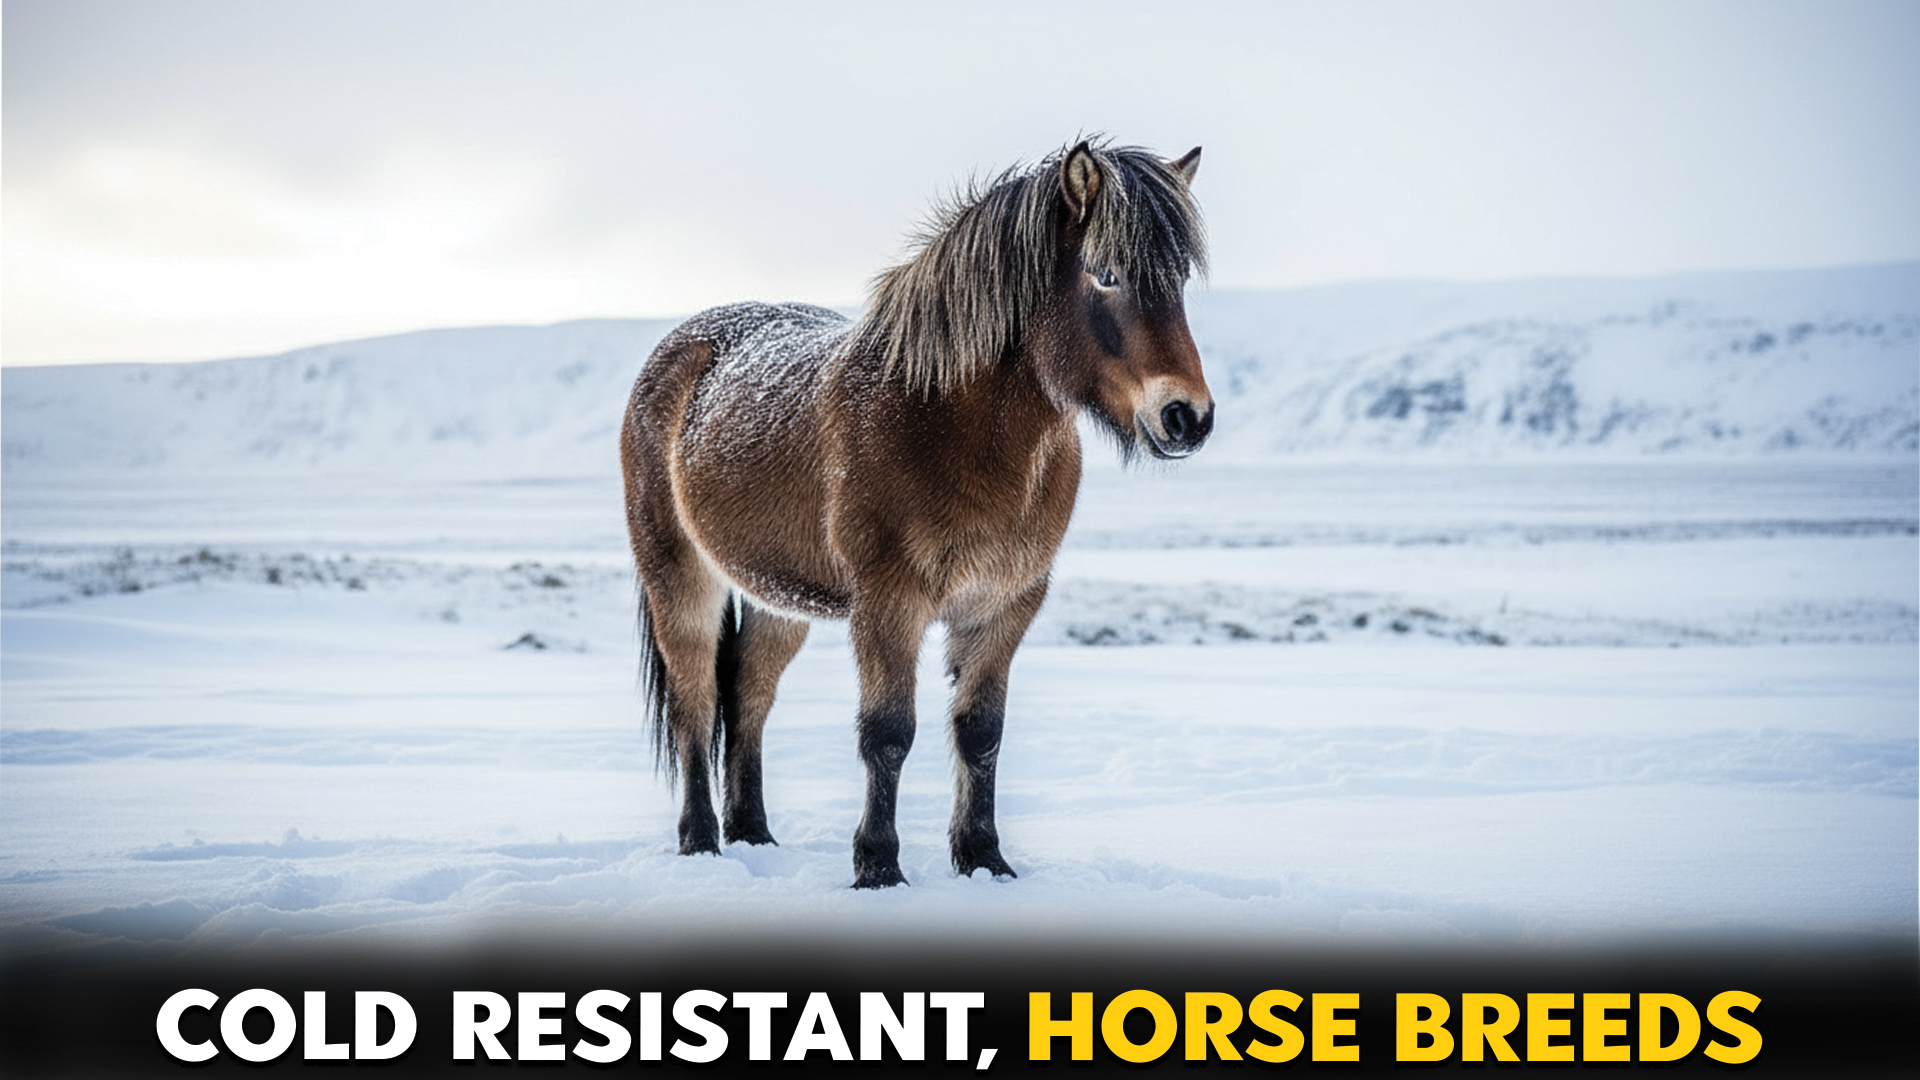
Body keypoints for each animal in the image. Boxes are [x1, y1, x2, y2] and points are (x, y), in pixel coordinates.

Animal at [620, 138, 1212, 888]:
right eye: (1107, 275)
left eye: (1179, 281)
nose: (1187, 417)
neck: (950, 424)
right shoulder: (888, 603)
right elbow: (887, 733)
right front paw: (878, 866)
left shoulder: (1005, 604)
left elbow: (980, 732)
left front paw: (984, 859)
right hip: (680, 579)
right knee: (695, 703)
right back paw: (700, 842)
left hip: (779, 601)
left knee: (748, 696)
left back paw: (754, 835)